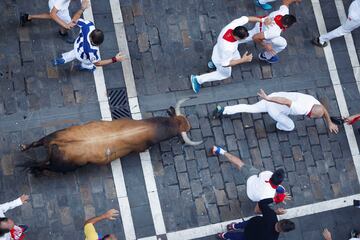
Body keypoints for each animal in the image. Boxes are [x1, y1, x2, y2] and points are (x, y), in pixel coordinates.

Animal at [19, 97, 201, 174]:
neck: (149, 128)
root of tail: (58, 143)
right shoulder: (142, 147)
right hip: (63, 166)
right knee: (43, 165)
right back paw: (33, 170)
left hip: (52, 135)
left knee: (37, 143)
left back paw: (24, 148)